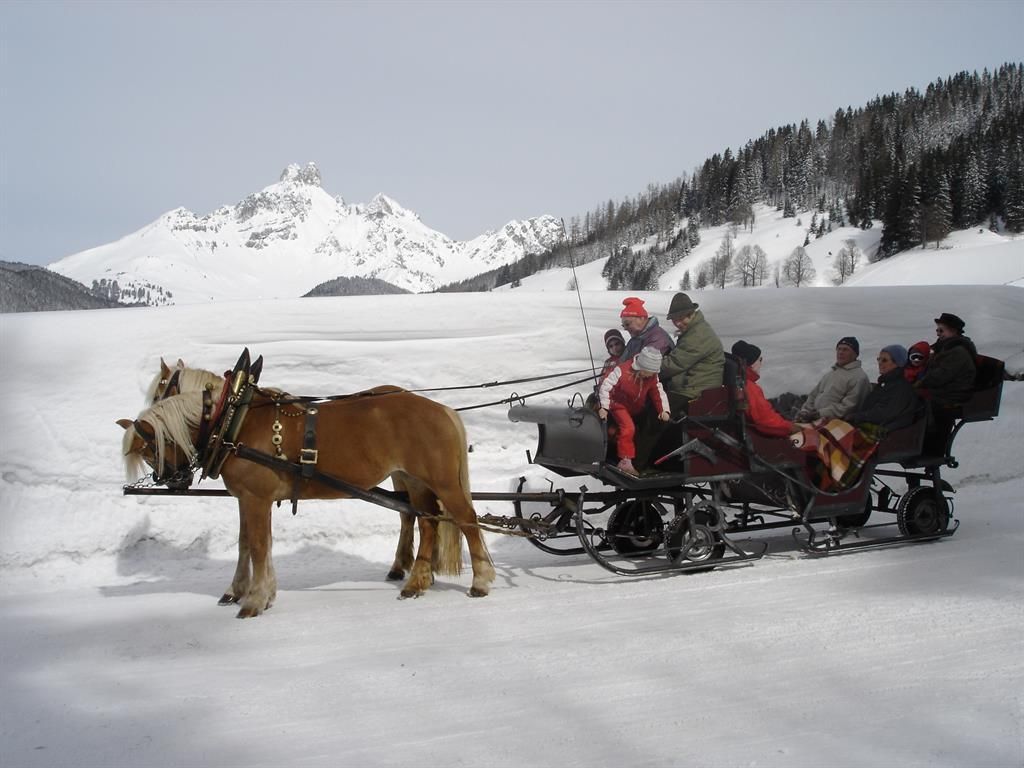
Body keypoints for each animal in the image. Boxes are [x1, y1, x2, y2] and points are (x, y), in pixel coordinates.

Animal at [119, 385, 495, 618]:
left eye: (151, 449)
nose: (172, 480)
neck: (234, 423)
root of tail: (444, 410)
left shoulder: (256, 498)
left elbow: (259, 546)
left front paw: (255, 600)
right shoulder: (246, 499)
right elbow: (247, 543)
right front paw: (243, 591)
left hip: (443, 482)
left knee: (467, 520)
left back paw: (479, 581)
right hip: (414, 481)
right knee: (426, 522)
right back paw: (416, 582)